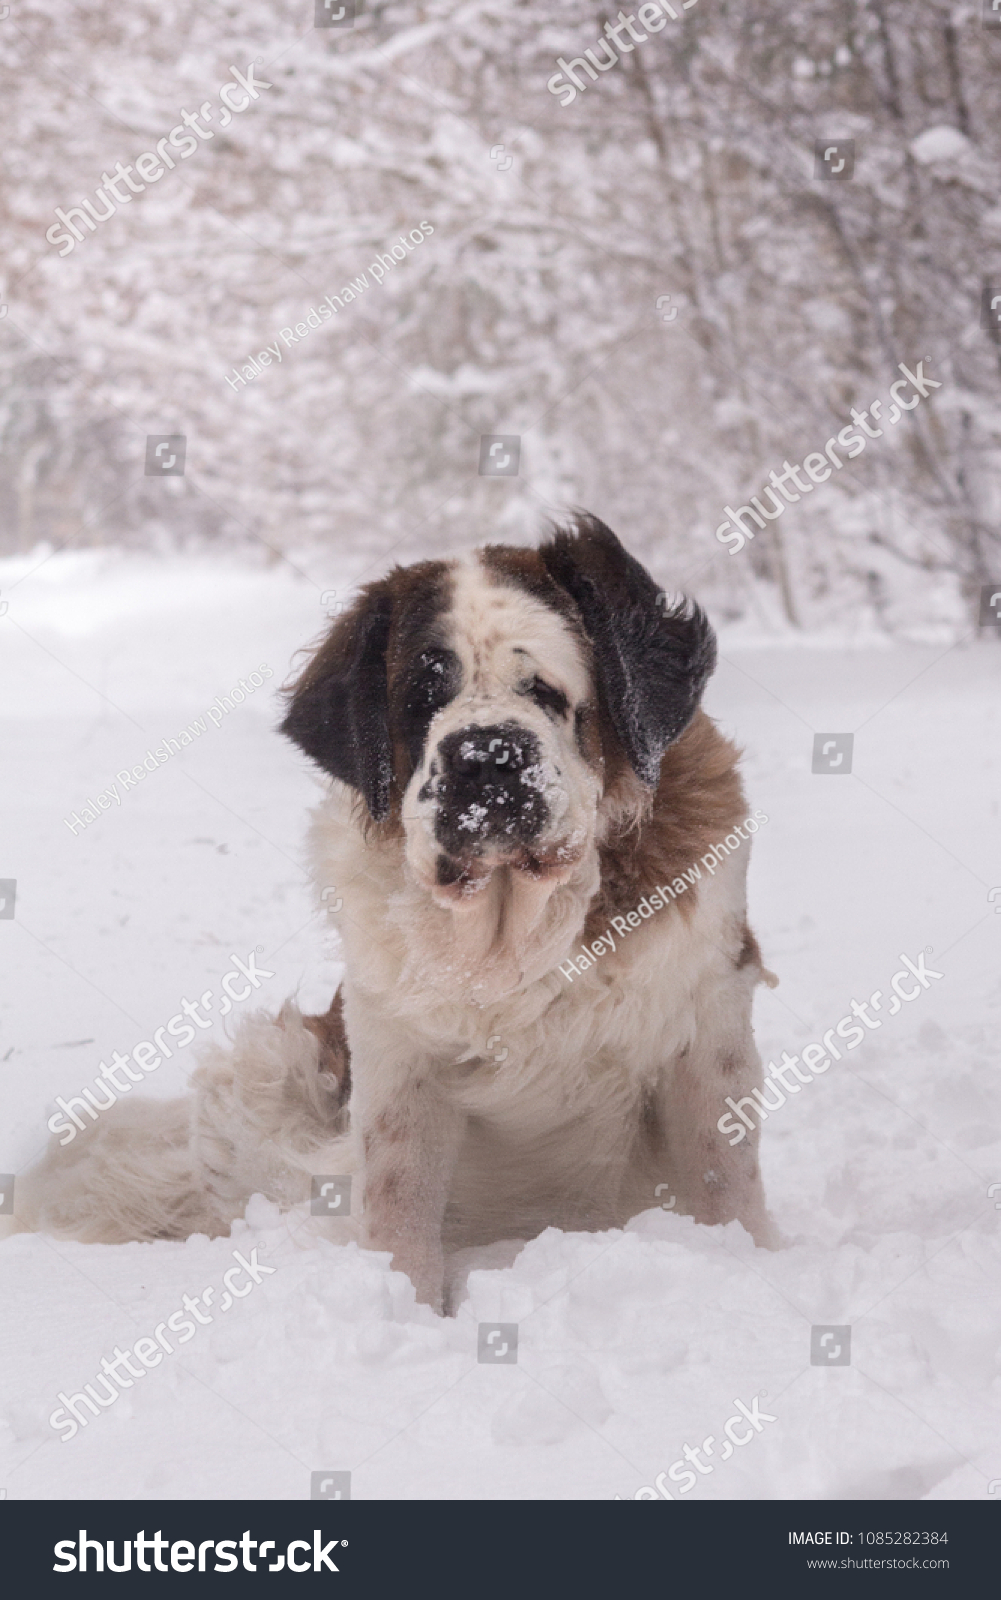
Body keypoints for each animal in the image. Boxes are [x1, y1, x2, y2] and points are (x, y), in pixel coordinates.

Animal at [21, 515, 770, 1312]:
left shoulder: (708, 1025)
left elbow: (723, 1172)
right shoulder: (396, 1057)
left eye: (544, 689)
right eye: (422, 699)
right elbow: (398, 1193)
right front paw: (404, 1308)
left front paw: (752, 1262)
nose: (486, 754)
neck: (511, 935)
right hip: (275, 1063)